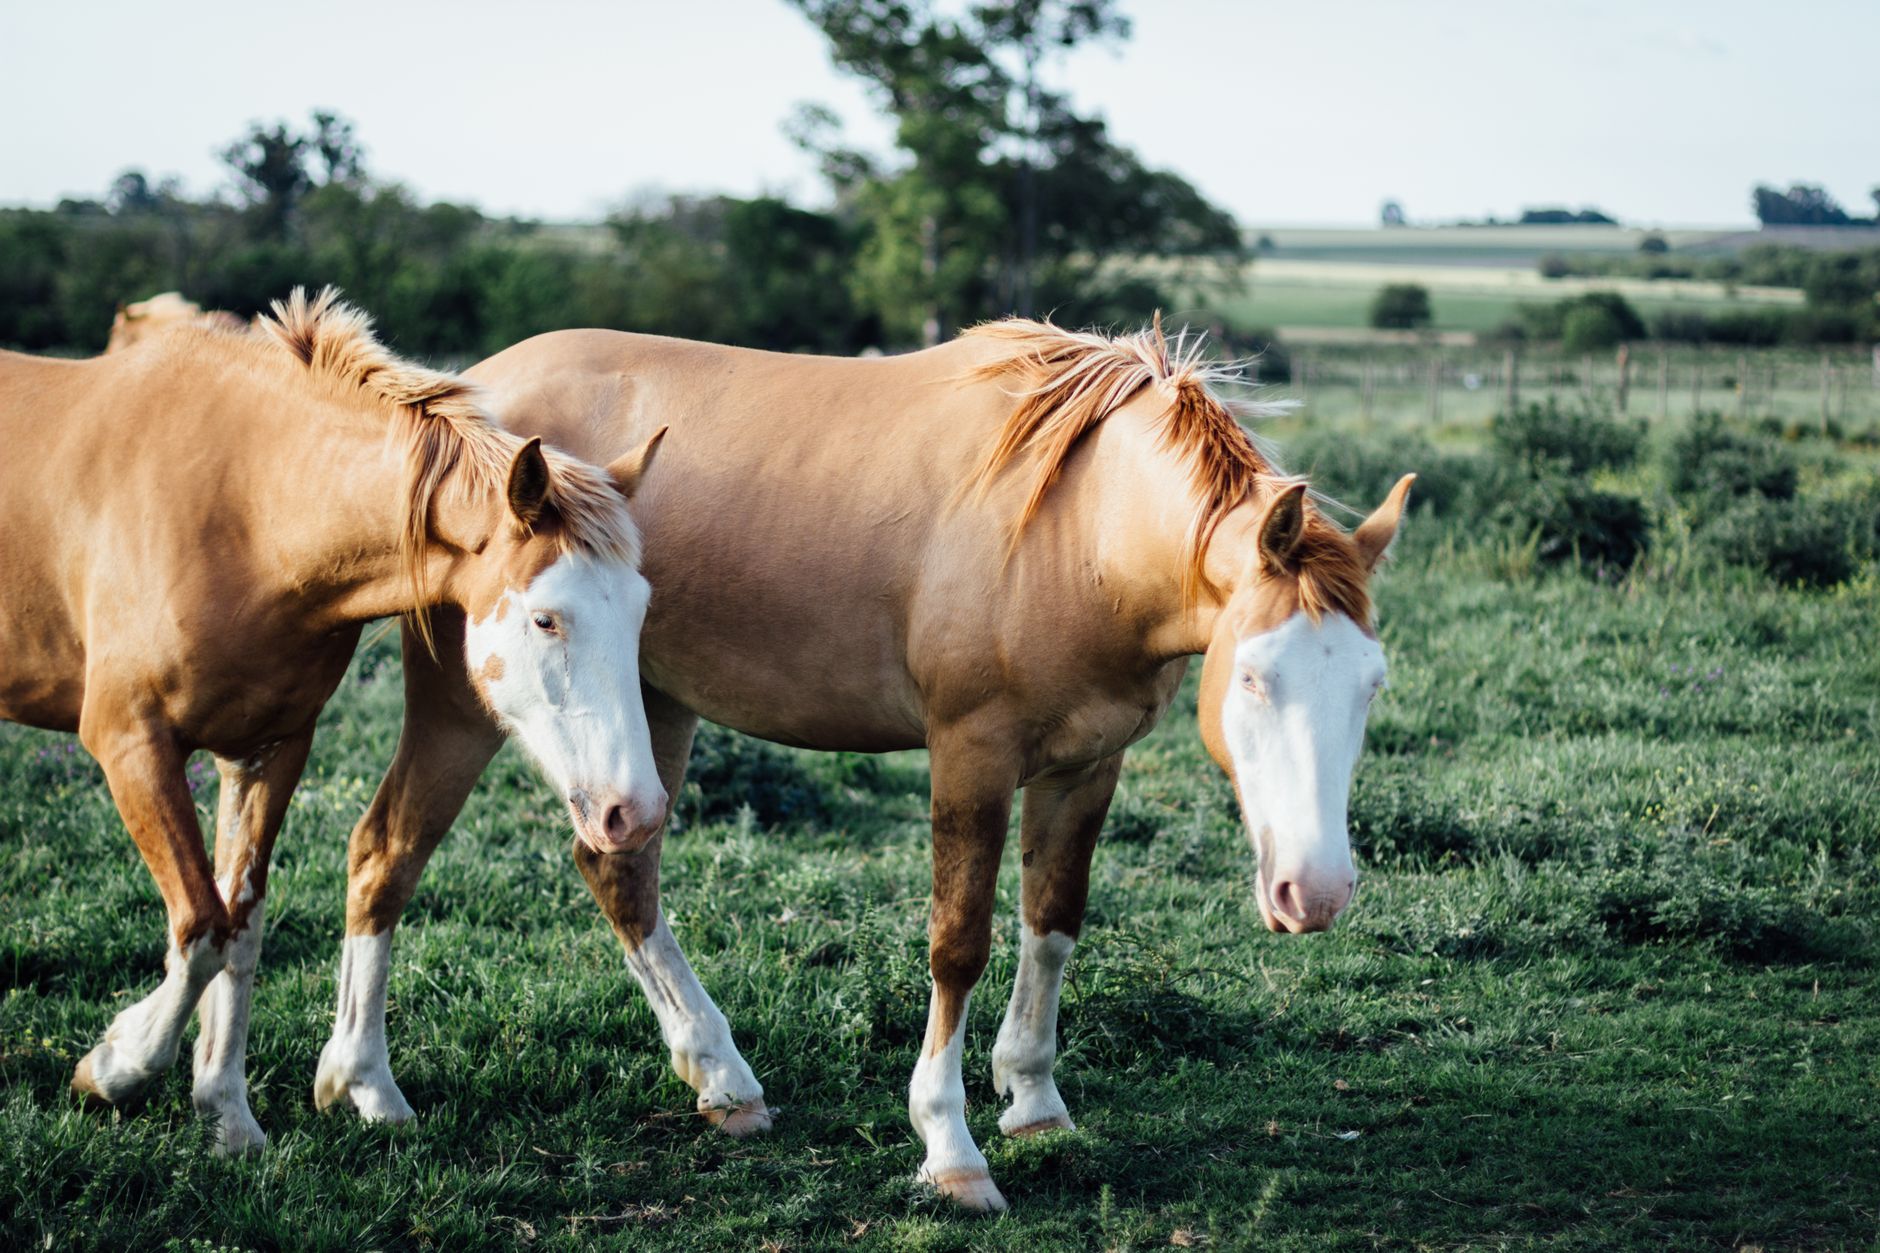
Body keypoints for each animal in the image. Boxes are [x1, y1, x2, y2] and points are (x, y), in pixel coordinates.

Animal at [314, 317, 1414, 1211]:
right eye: (1255, 678)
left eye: (1370, 683)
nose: (1314, 891)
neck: (1079, 528)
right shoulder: (970, 754)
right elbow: (959, 942)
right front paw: (951, 1146)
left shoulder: (1085, 765)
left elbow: (1053, 923)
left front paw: (1035, 1099)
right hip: (464, 704)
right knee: (386, 851)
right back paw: (364, 1082)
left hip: (648, 708)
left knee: (617, 866)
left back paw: (720, 1076)